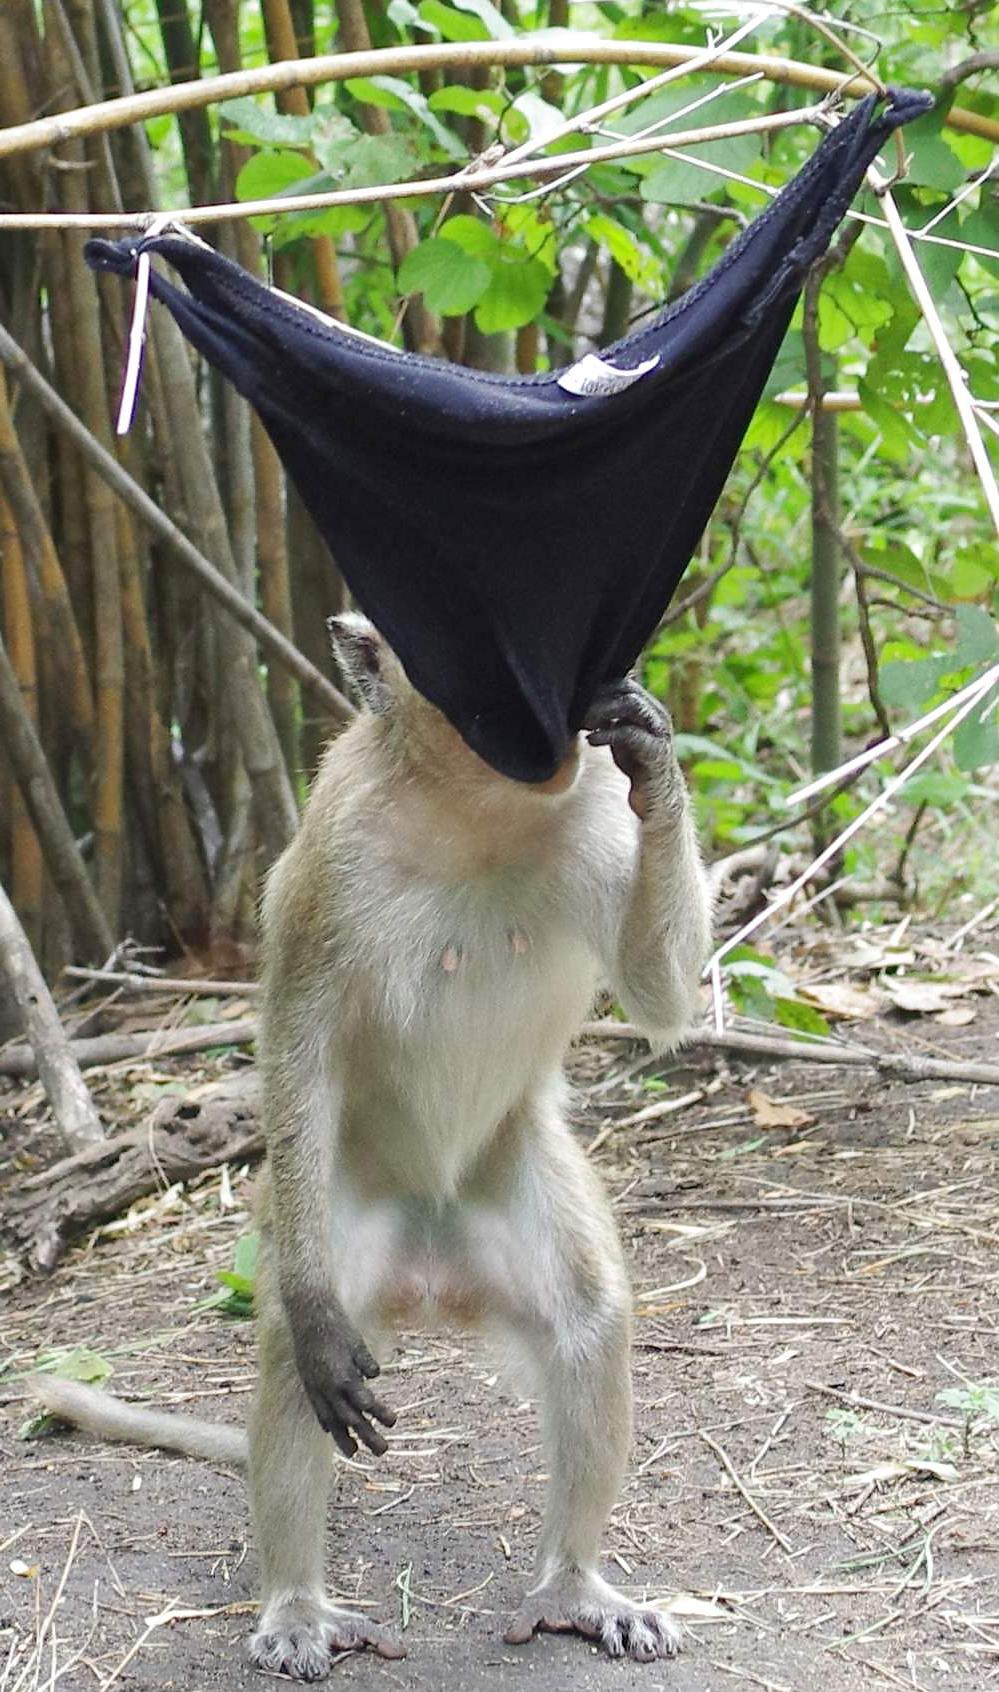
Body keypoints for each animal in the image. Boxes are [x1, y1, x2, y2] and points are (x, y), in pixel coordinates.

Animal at [31, 612, 712, 1678]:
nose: (562, 730)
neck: (478, 807)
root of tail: (432, 1276)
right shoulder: (331, 853)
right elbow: (298, 1042)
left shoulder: (599, 814)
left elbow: (659, 997)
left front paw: (649, 744)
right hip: (329, 1200)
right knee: (292, 1356)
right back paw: (297, 1603)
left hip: (508, 1180)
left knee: (590, 1322)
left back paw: (571, 1586)